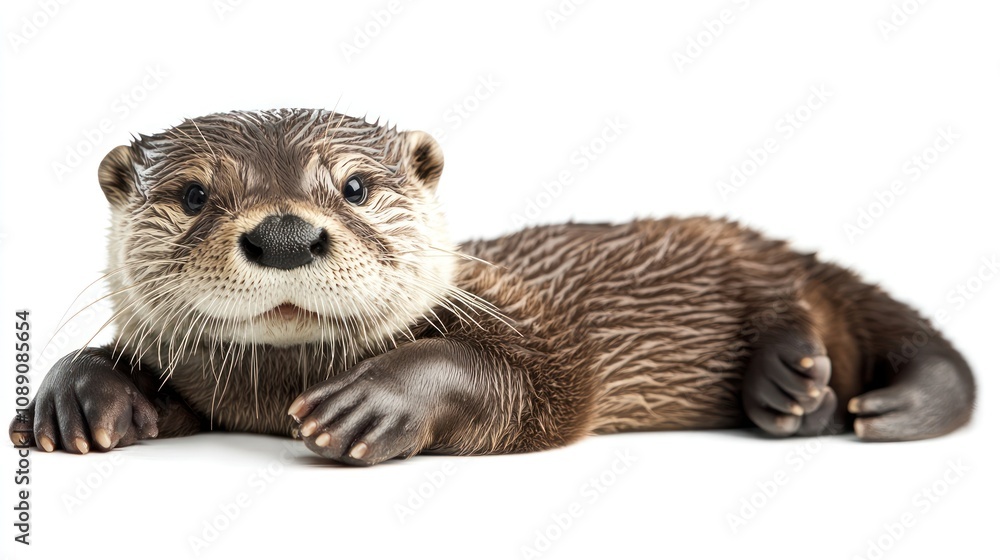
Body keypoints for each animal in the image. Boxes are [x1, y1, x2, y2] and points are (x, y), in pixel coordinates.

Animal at [9, 109, 975, 465]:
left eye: (354, 186)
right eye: (192, 194)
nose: (284, 233)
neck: (273, 390)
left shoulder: (532, 321)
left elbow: (545, 382)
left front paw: (374, 403)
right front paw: (80, 393)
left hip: (745, 260)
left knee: (796, 301)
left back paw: (792, 386)